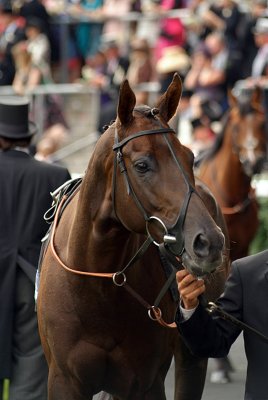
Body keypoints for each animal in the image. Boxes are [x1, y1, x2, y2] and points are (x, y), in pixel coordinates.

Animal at [36, 73, 229, 398]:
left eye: (190, 157)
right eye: (142, 165)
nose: (210, 242)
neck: (99, 284)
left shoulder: (144, 383)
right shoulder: (64, 380)